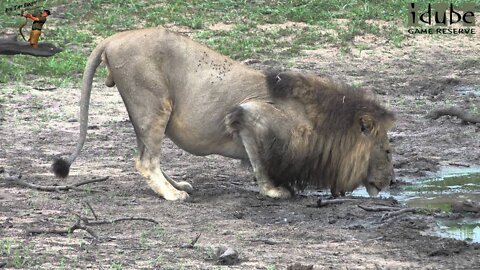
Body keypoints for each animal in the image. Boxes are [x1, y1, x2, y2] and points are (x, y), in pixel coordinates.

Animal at [51, 27, 398, 200]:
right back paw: (172, 195)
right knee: (146, 161)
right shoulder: (249, 115)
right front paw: (274, 191)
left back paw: (178, 186)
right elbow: (260, 164)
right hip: (154, 104)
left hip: (145, 110)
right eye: (388, 151)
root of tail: (111, 38)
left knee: (147, 155)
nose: (393, 181)